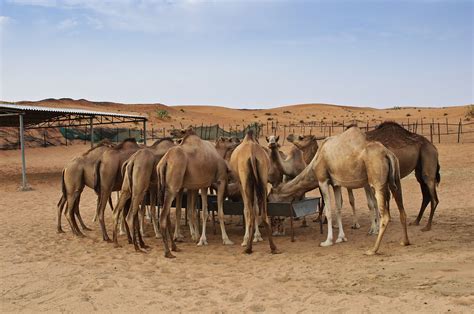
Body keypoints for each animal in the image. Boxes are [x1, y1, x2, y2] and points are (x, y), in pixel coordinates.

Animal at [156, 130, 234, 258]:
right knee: (163, 217)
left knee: (166, 216)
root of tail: (164, 161)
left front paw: (200, 239)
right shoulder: (221, 180)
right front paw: (226, 239)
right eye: (230, 140)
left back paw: (175, 247)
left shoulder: (203, 185)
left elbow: (200, 211)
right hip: (173, 187)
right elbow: (220, 212)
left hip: (163, 188)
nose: (238, 140)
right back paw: (168, 251)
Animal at [268, 125, 410, 255]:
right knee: (402, 211)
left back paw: (373, 249)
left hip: (377, 181)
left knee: (384, 215)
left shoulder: (323, 181)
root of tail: (388, 154)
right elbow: (338, 208)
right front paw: (341, 238)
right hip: (395, 180)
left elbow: (329, 211)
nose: (289, 136)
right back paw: (404, 242)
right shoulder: (336, 184)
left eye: (301, 137)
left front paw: (327, 241)